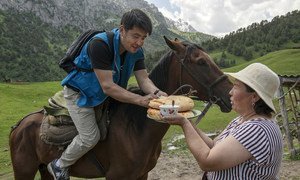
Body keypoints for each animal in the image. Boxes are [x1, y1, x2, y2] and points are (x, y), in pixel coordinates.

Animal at [8, 35, 231, 179]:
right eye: (201, 62)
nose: (230, 94)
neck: (136, 128)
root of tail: (18, 126)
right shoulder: (117, 176)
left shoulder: (142, 174)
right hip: (24, 171)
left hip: (42, 169)